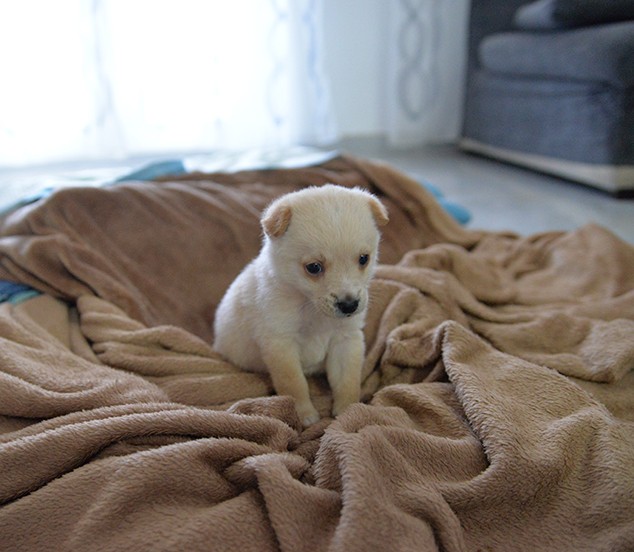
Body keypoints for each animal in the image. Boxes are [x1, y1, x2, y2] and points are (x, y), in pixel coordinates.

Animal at [212, 183, 386, 424]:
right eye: (313, 267)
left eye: (363, 259)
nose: (349, 305)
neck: (311, 307)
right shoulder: (281, 344)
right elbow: (294, 384)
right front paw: (303, 414)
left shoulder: (346, 340)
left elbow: (348, 381)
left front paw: (348, 410)